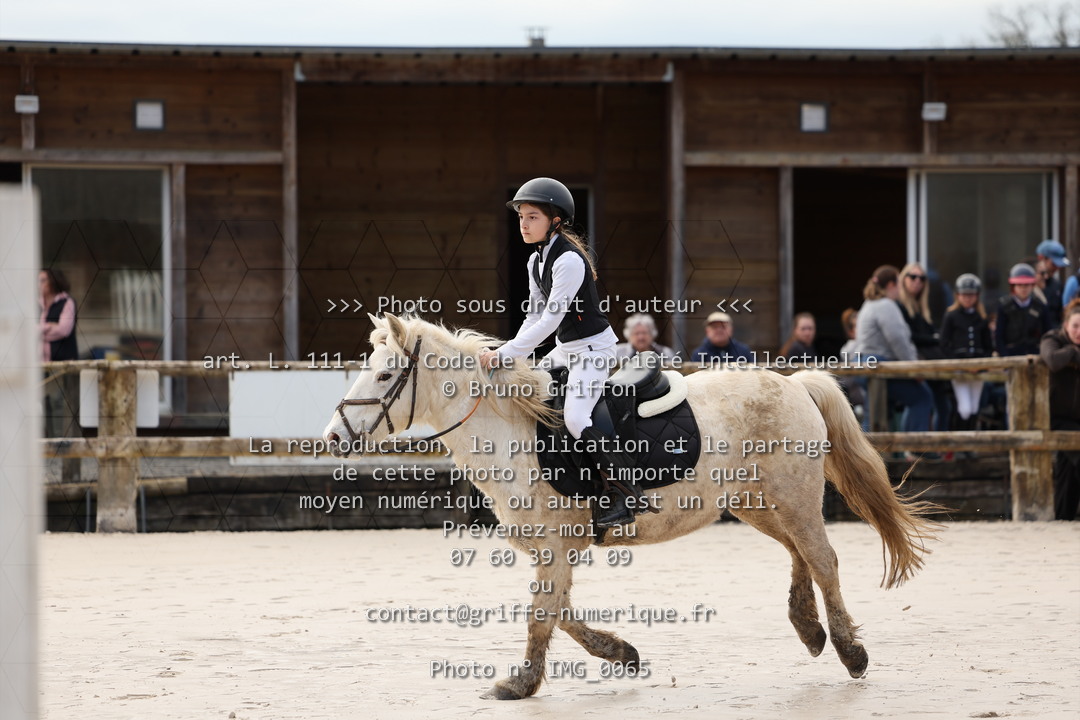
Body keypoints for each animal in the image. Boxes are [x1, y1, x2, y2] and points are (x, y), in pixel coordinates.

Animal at [322, 313, 940, 700]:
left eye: (384, 374)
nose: (332, 437)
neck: (513, 429)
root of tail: (794, 383)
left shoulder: (555, 546)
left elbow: (542, 616)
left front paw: (518, 684)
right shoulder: (552, 549)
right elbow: (560, 613)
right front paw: (620, 653)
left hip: (791, 497)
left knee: (823, 559)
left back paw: (850, 652)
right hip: (758, 502)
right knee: (800, 554)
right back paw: (809, 629)